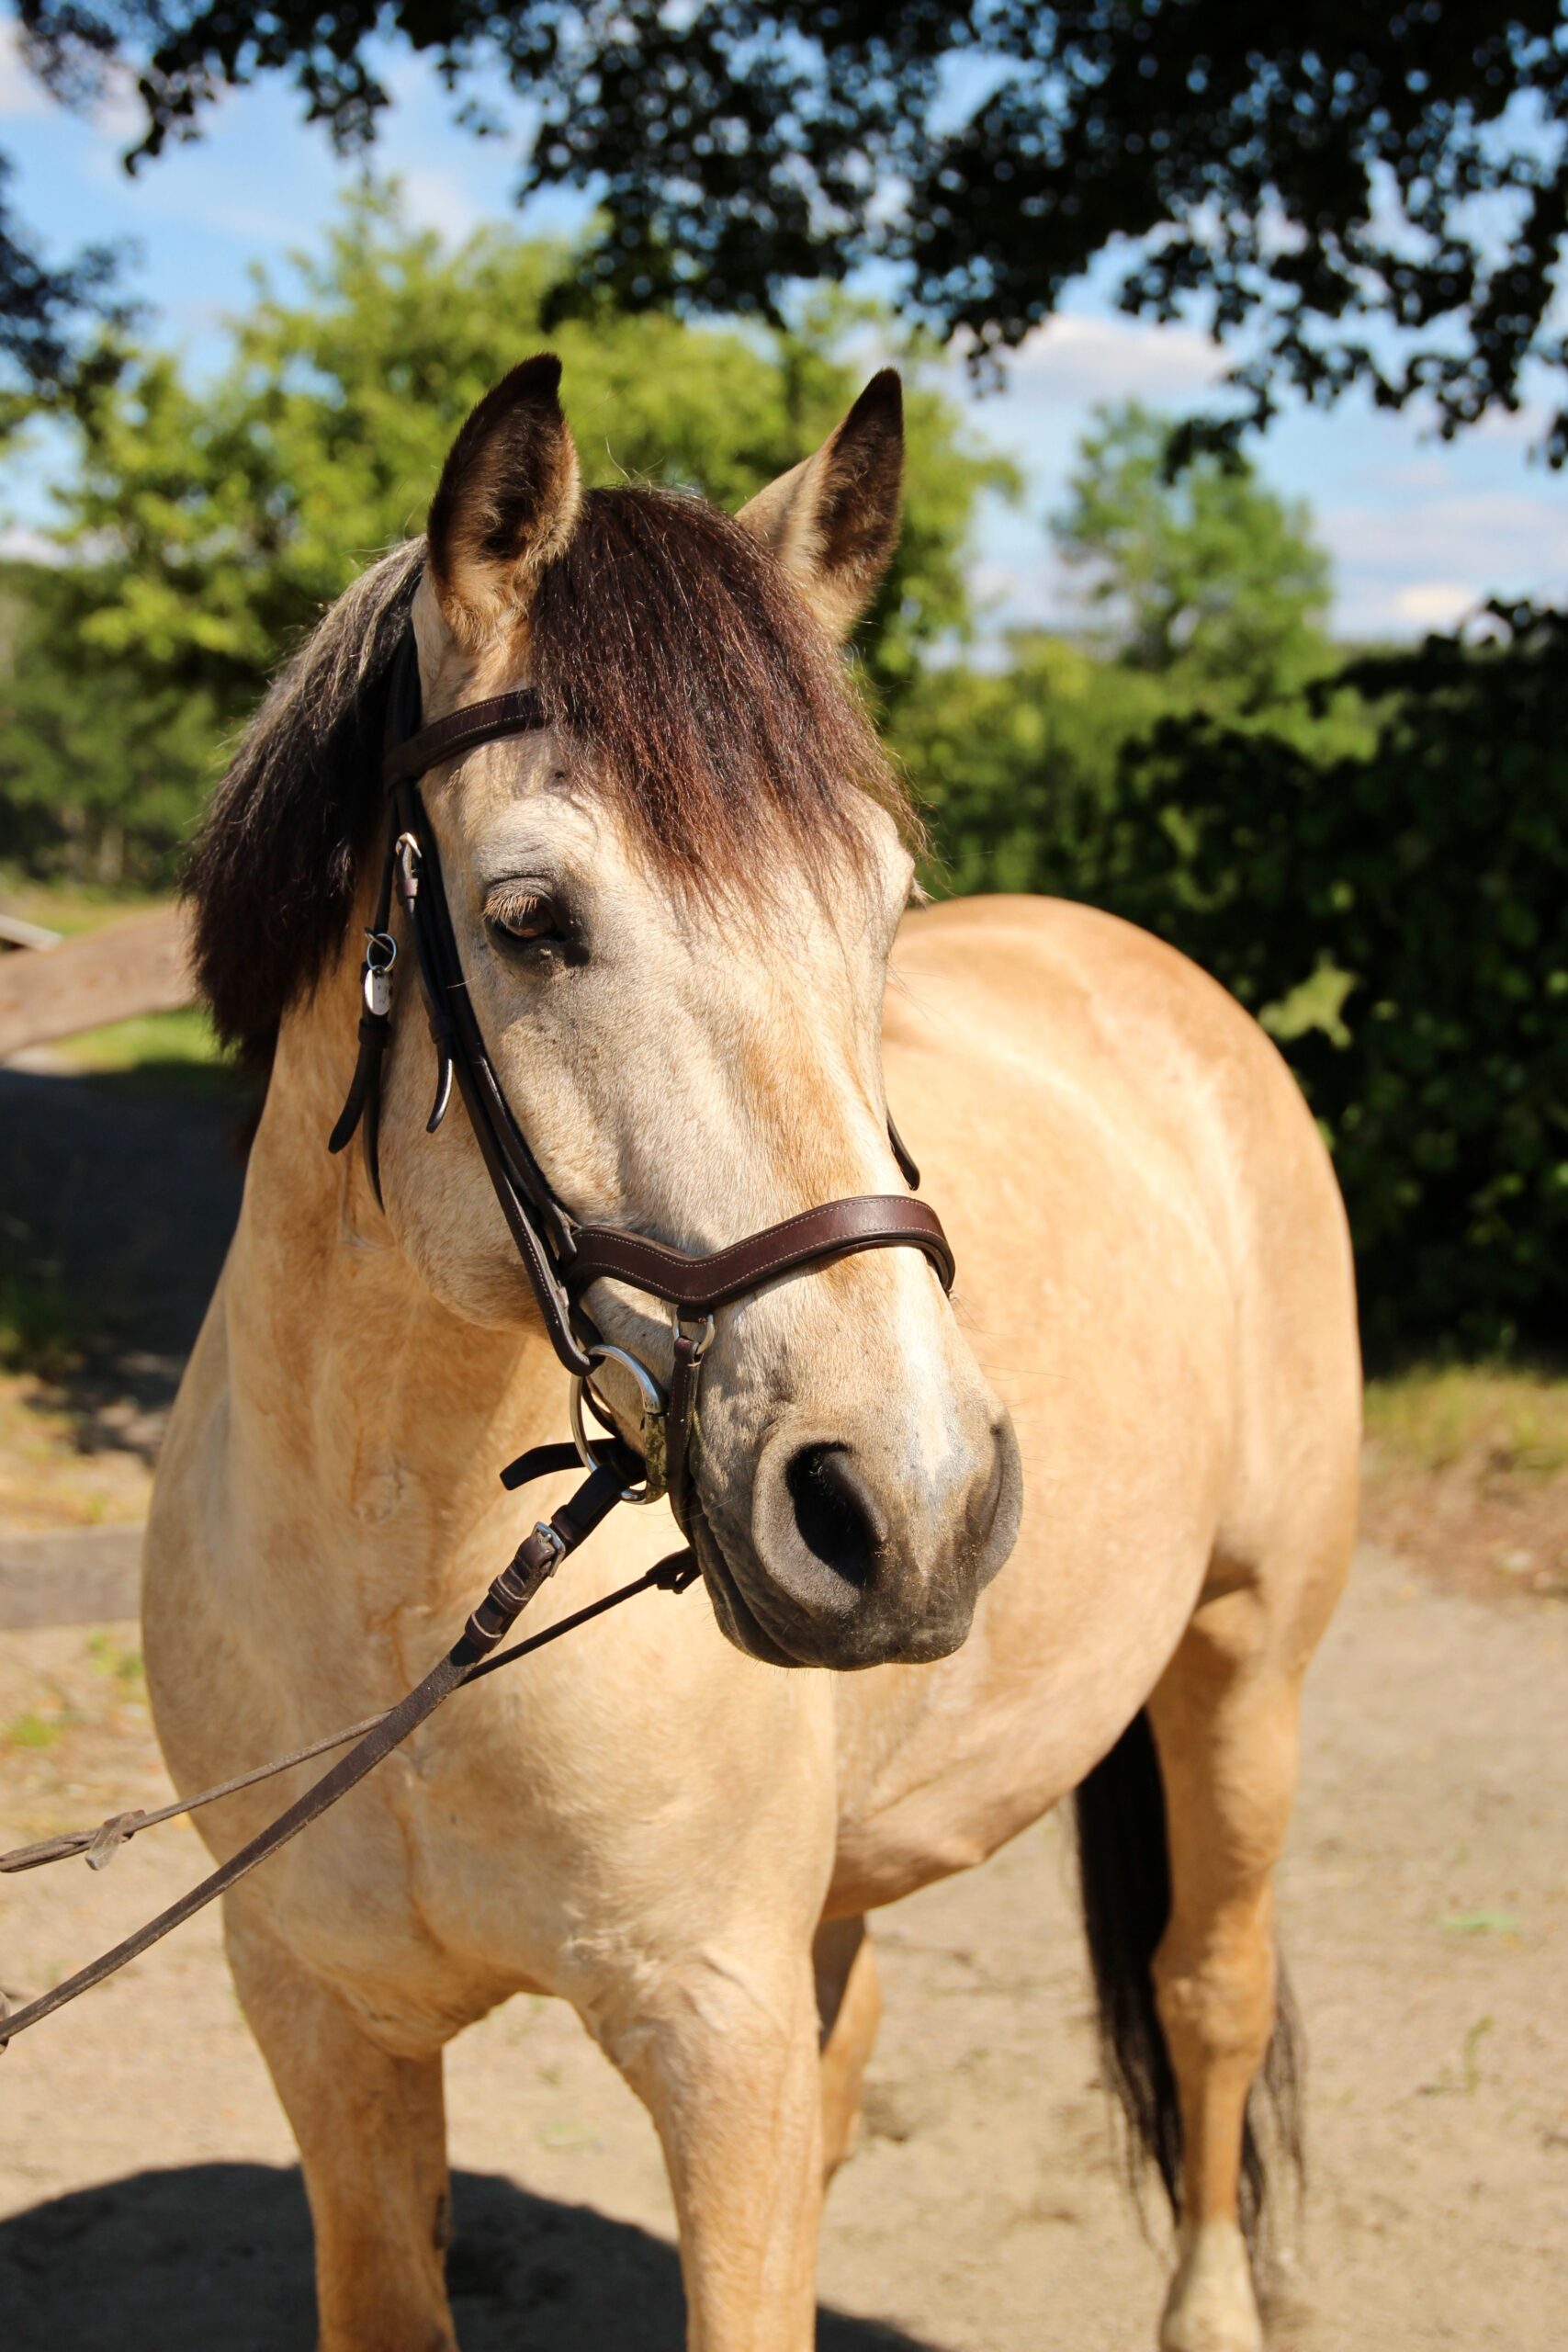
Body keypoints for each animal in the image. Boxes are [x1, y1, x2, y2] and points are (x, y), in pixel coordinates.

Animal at [138, 353, 1363, 2352]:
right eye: (531, 918)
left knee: (1209, 1993)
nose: (909, 1502)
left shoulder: (717, 2043)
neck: (410, 1617)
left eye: (879, 906)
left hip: (1244, 1657)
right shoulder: (323, 2023)